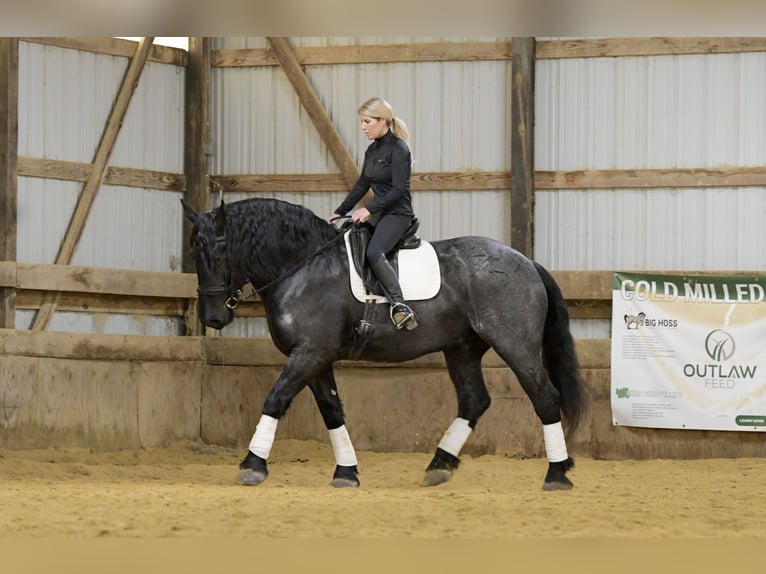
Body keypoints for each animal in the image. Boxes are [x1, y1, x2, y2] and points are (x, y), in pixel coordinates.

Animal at [182, 197, 588, 490]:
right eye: (193, 251)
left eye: (221, 250)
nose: (213, 318)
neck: (304, 267)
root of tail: (527, 262)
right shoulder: (316, 356)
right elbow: (332, 411)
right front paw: (346, 472)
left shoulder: (310, 352)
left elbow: (275, 399)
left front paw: (252, 465)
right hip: (462, 348)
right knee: (475, 400)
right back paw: (439, 465)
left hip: (516, 345)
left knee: (544, 398)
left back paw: (556, 474)